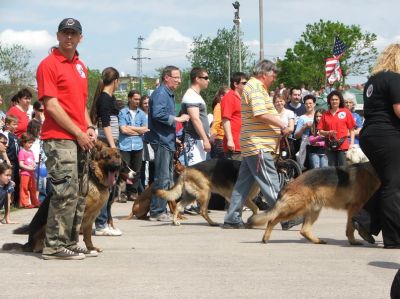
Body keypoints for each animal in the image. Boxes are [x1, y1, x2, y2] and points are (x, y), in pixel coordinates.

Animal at [247, 164, 382, 246]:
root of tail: (290, 183)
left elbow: (351, 226)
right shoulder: (354, 208)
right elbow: (351, 227)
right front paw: (353, 241)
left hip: (313, 211)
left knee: (304, 230)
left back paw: (317, 240)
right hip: (296, 210)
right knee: (272, 220)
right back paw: (265, 238)